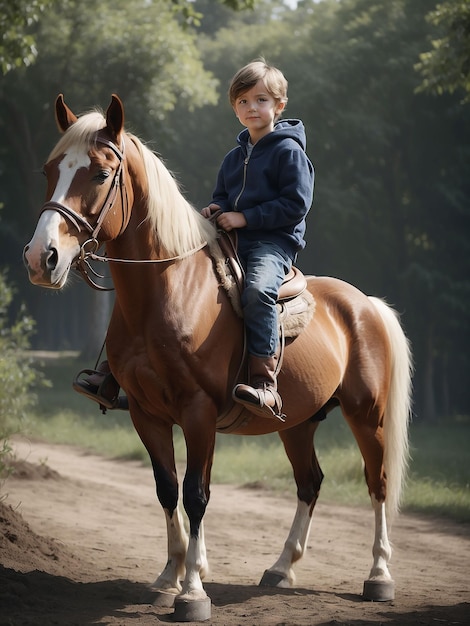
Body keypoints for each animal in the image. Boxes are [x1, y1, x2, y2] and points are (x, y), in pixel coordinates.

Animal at [23, 92, 412, 620]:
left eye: (101, 174)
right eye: (49, 170)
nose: (40, 258)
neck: (168, 292)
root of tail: (366, 304)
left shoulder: (198, 412)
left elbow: (197, 495)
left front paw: (192, 592)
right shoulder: (146, 413)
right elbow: (167, 489)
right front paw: (168, 577)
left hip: (365, 414)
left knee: (379, 482)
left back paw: (379, 576)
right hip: (298, 422)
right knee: (309, 483)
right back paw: (281, 569)